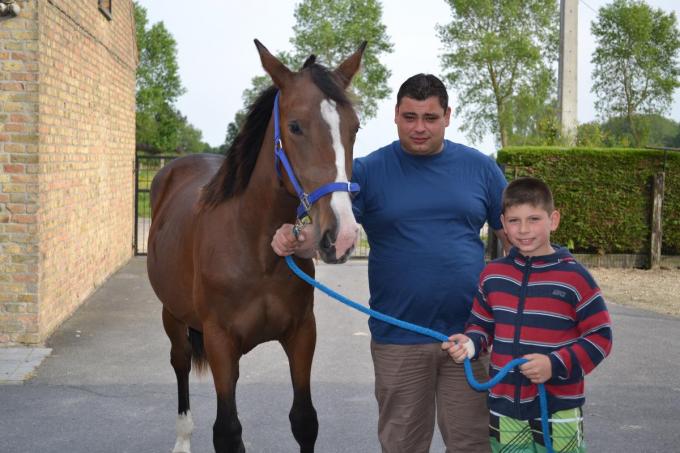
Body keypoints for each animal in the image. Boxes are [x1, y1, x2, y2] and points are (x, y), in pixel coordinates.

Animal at [145, 39, 366, 452]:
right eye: (294, 126)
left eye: (354, 127)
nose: (342, 235)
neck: (256, 250)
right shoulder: (219, 342)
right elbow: (228, 431)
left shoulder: (302, 334)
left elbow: (305, 421)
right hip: (173, 315)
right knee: (180, 363)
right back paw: (182, 437)